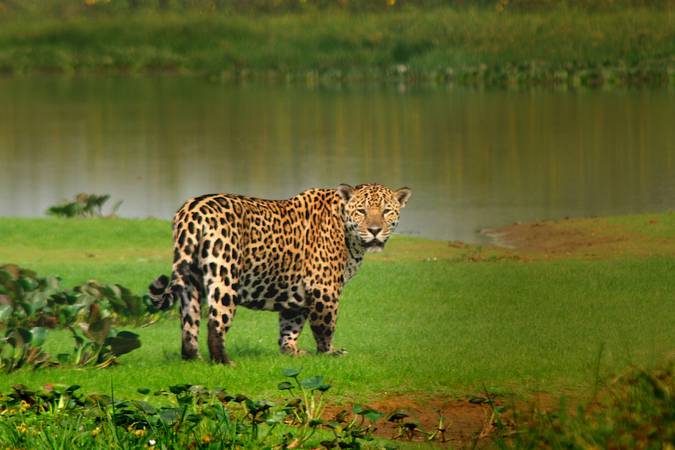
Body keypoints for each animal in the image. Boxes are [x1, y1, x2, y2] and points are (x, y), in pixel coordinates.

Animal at [148, 183, 412, 364]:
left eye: (387, 211)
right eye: (362, 211)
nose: (375, 230)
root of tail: (191, 210)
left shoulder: (298, 293)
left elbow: (291, 324)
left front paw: (291, 351)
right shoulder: (324, 287)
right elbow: (325, 326)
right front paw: (328, 353)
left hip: (190, 280)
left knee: (189, 323)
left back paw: (194, 358)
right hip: (224, 273)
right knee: (215, 322)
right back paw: (225, 362)